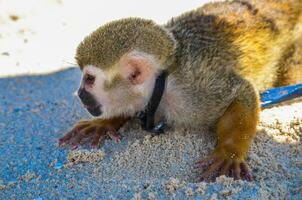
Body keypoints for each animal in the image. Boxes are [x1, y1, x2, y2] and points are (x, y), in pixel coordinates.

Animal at [59, 0, 302, 181]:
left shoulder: (195, 90)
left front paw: (229, 151)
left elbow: (242, 91)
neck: (164, 84)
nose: (80, 94)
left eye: (89, 79)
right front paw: (104, 123)